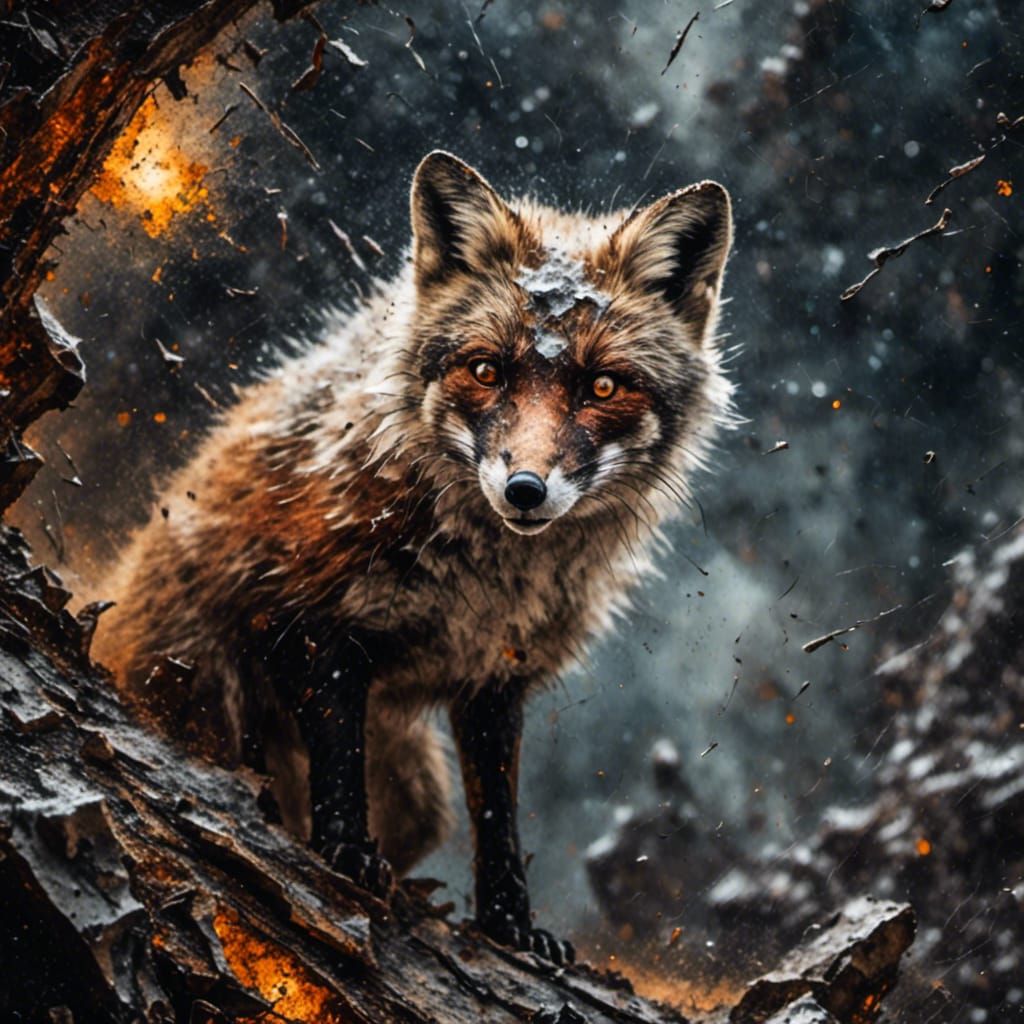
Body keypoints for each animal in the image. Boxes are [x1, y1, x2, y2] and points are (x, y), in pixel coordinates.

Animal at [92, 151, 735, 964]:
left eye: (602, 386)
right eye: (486, 371)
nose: (525, 489)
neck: (481, 584)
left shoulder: (495, 676)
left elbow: (498, 818)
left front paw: (511, 927)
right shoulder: (313, 619)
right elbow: (339, 765)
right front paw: (344, 854)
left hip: (419, 795)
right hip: (212, 693)